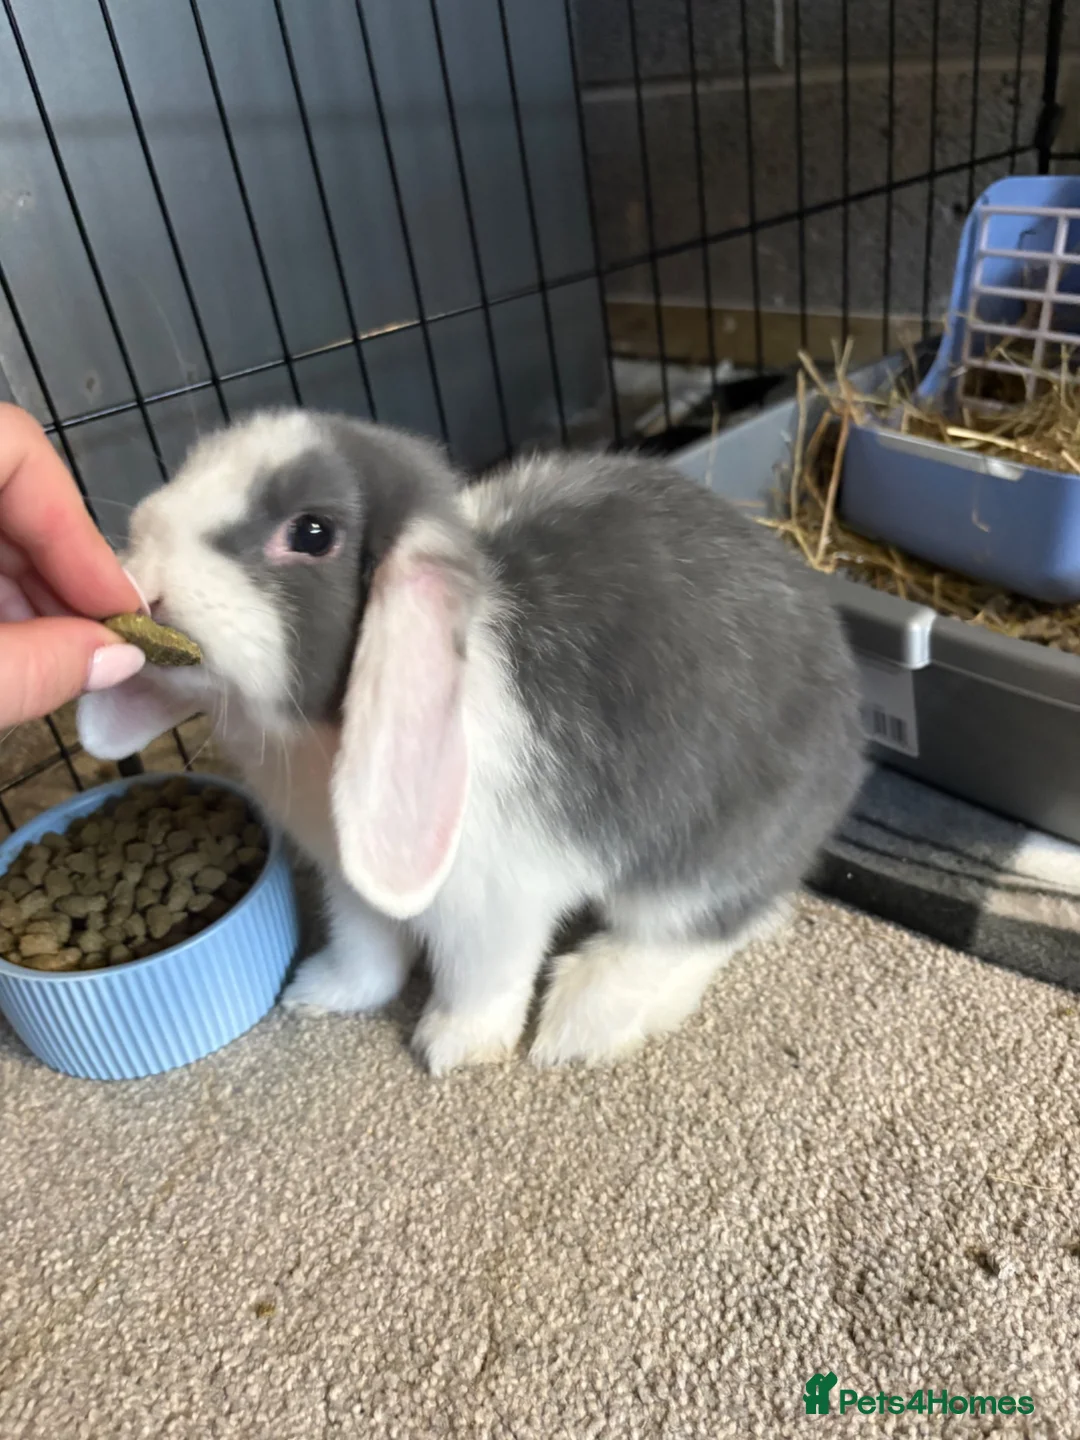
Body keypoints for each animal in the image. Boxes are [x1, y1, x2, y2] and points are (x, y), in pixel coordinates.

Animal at [77, 408, 866, 1074]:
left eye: (312, 533)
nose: (145, 583)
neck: (318, 736)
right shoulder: (349, 881)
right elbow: (367, 951)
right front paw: (318, 993)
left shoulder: (493, 901)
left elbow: (479, 979)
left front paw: (451, 1048)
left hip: (703, 860)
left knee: (696, 931)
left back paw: (584, 1020)